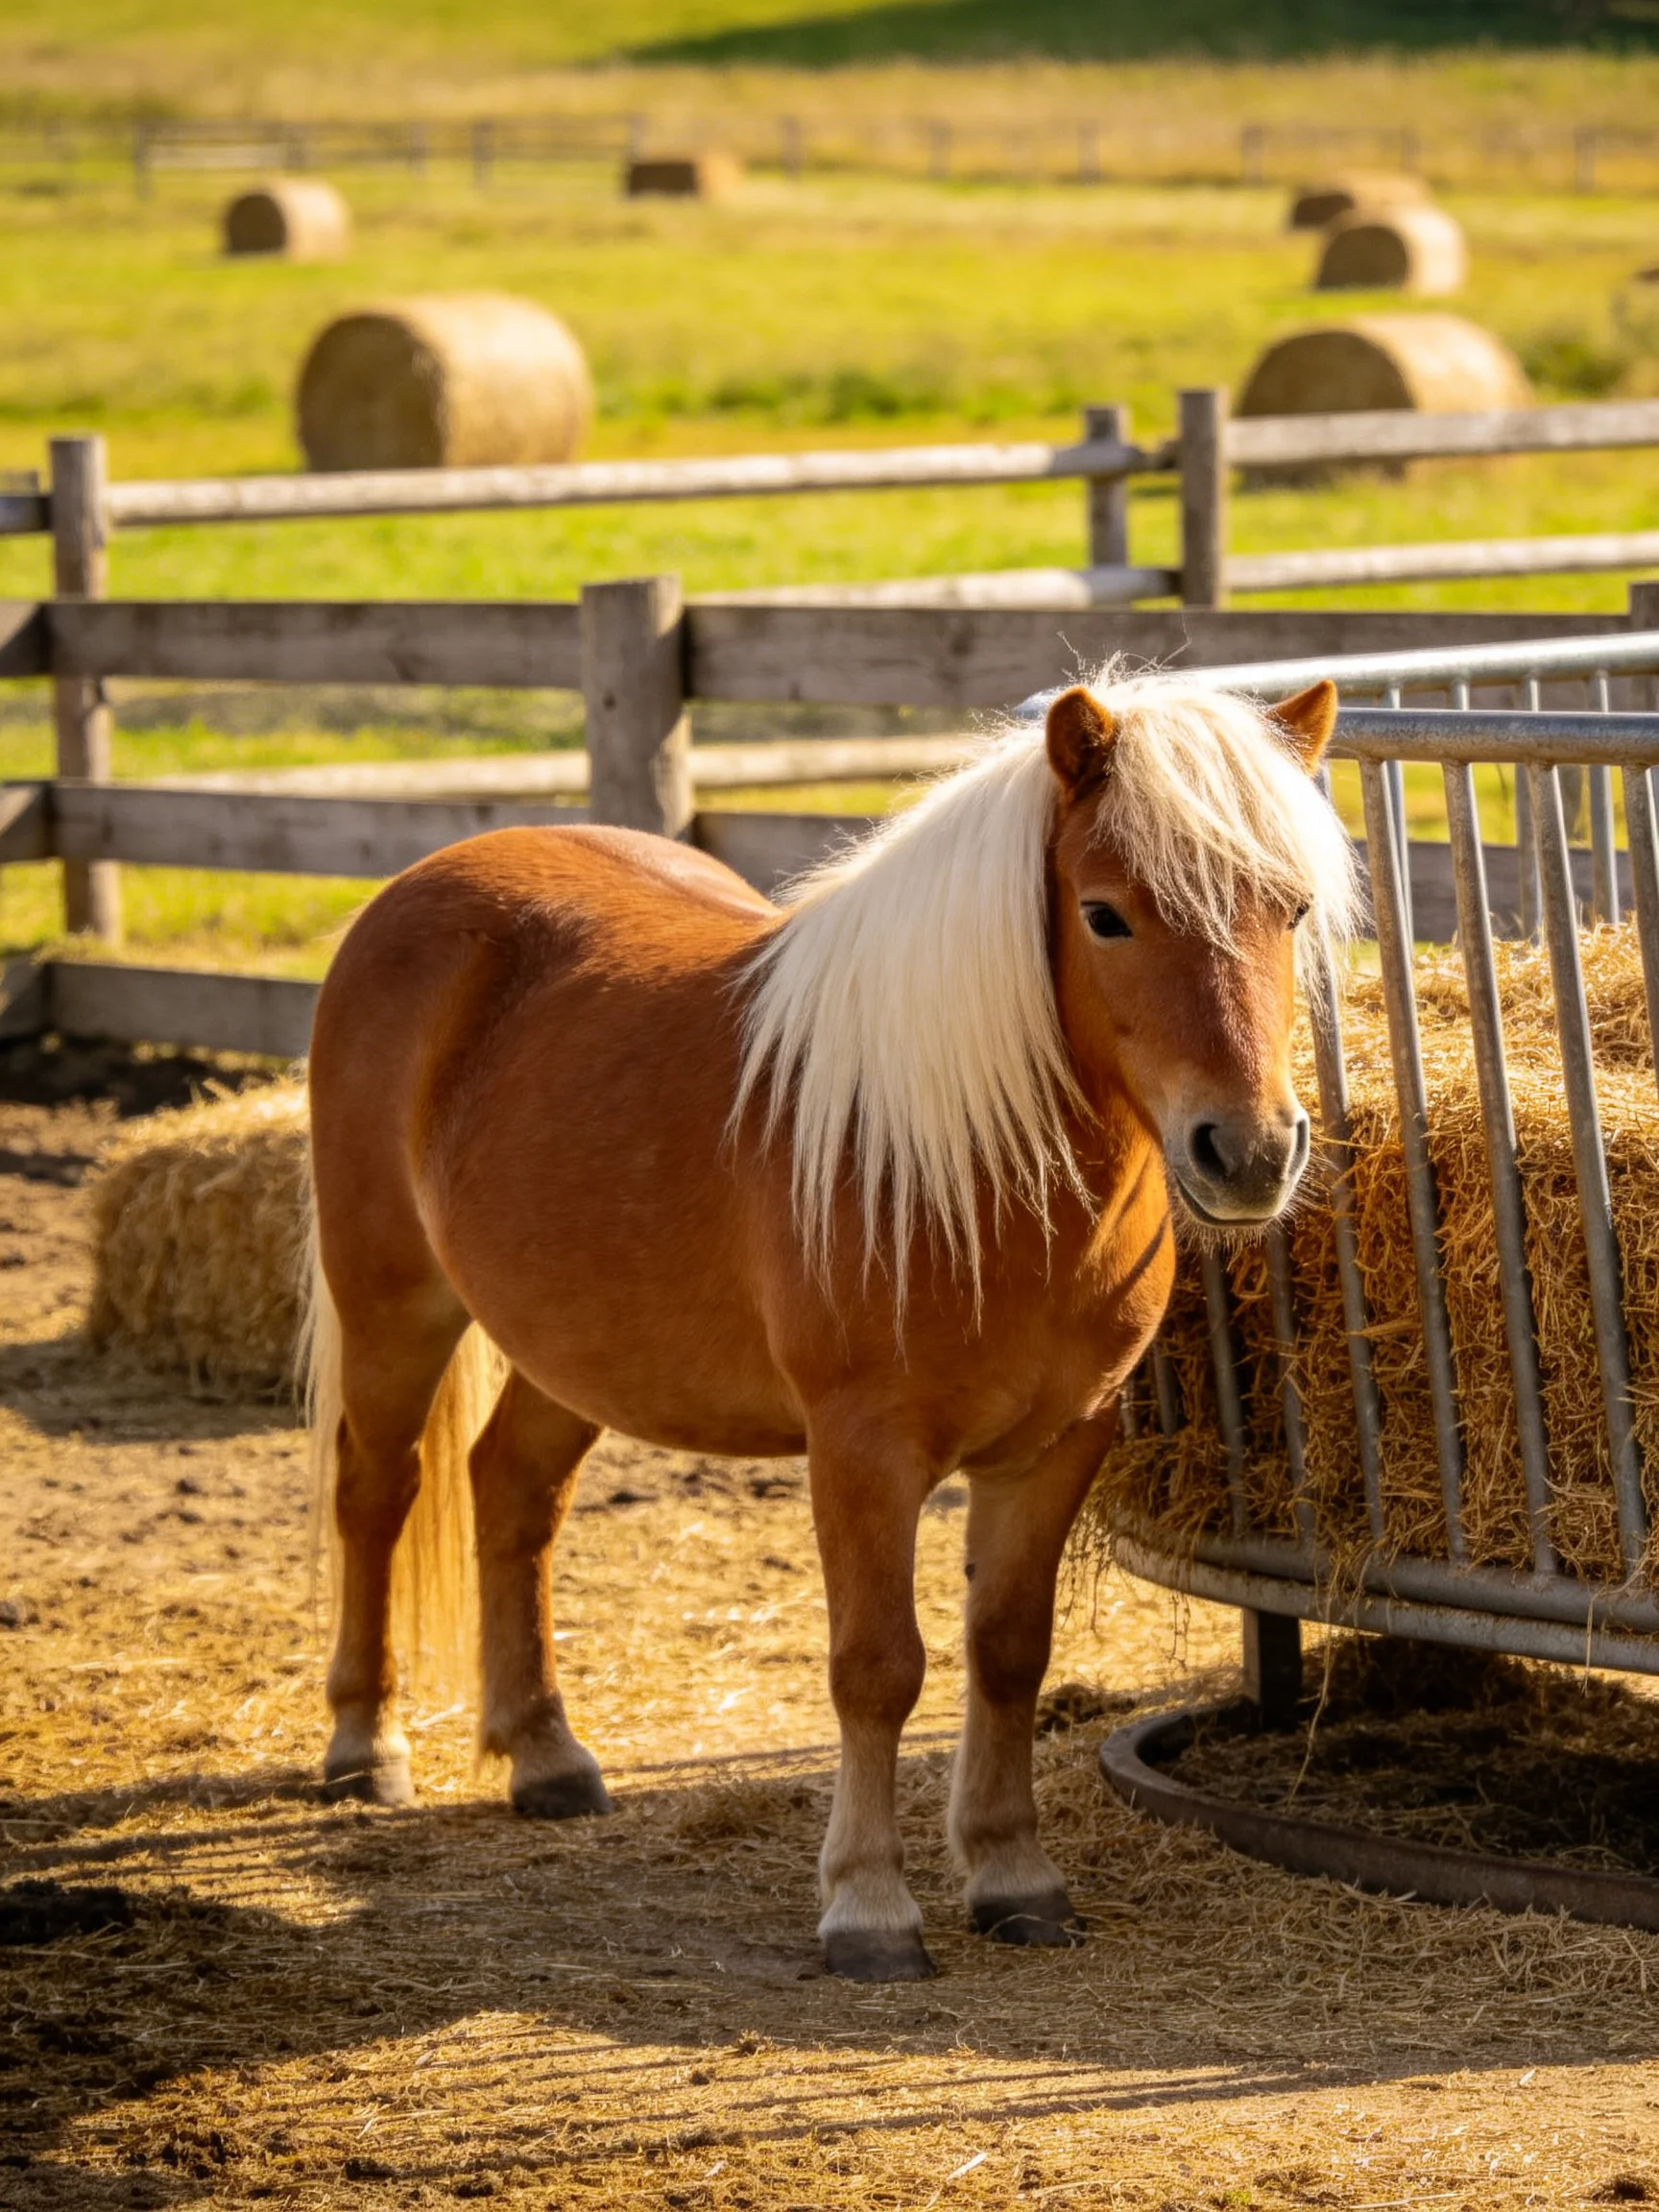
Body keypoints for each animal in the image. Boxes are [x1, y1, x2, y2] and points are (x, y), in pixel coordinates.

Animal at [305, 670, 1355, 1982]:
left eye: (1293, 907)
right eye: (1107, 915)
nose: (1249, 1152)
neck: (969, 1161)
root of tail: (428, 879)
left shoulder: (1058, 1445)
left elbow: (1008, 1652)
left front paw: (1014, 1876)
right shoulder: (863, 1451)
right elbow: (877, 1668)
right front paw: (869, 1906)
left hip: (575, 1343)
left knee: (510, 1489)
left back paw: (543, 1754)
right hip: (393, 1298)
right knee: (377, 1489)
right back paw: (364, 1747)